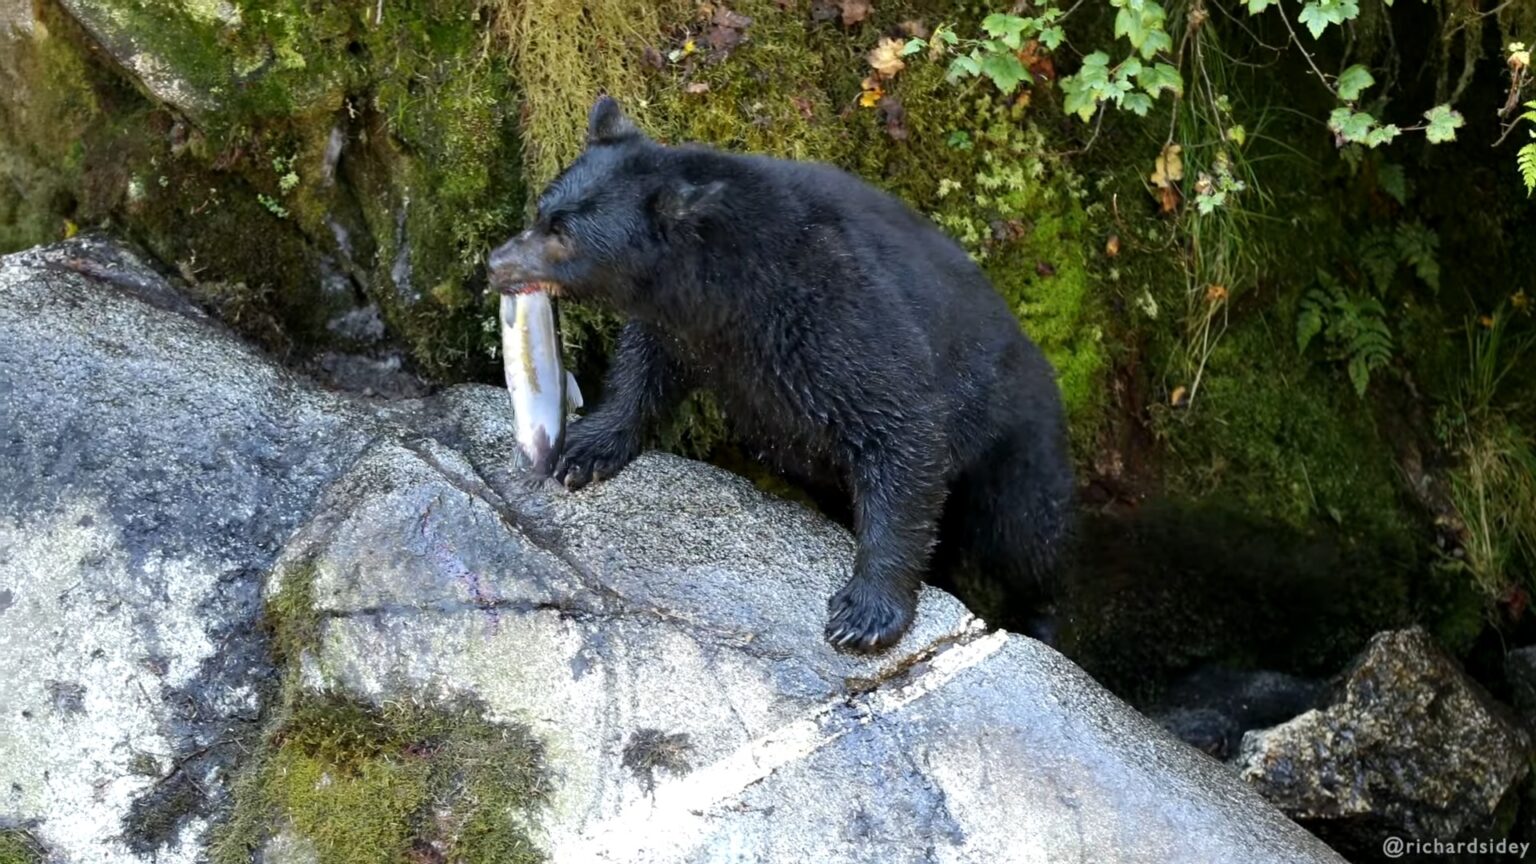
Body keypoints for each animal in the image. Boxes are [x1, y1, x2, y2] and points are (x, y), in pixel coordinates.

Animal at [487, 96, 1074, 652]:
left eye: (564, 235)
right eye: (542, 210)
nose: (496, 262)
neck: (732, 289)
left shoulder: (835, 310)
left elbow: (900, 430)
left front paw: (866, 612)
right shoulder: (687, 326)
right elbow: (644, 365)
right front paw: (586, 448)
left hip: (1014, 442)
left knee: (1025, 535)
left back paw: (1042, 617)